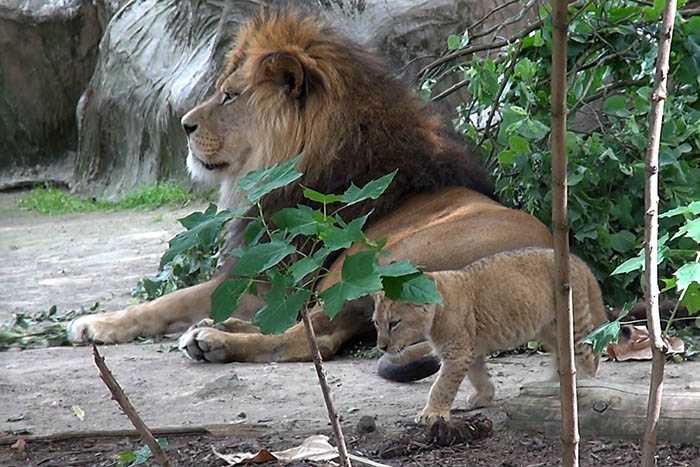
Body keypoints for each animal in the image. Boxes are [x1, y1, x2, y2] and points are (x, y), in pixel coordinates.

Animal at [69, 11, 552, 382]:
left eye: (229, 96)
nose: (184, 125)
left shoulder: (271, 275)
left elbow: (169, 299)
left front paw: (92, 323)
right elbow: (173, 302)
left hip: (371, 264)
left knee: (311, 338)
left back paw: (213, 339)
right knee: (313, 329)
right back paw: (218, 328)